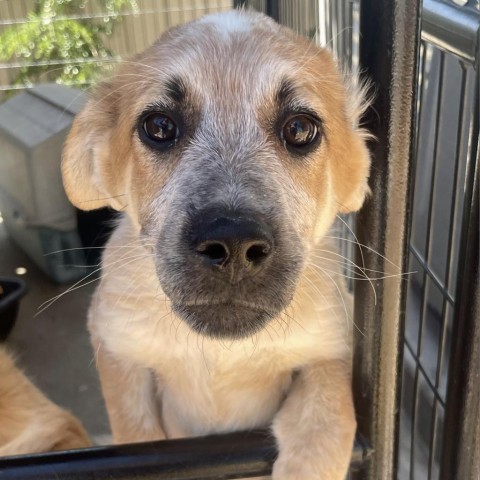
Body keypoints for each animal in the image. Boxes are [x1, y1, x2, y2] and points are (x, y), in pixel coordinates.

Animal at [62, 8, 372, 480]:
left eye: (300, 128)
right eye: (159, 126)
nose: (233, 244)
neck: (221, 354)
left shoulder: (330, 353)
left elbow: (327, 429)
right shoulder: (115, 344)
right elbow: (135, 430)